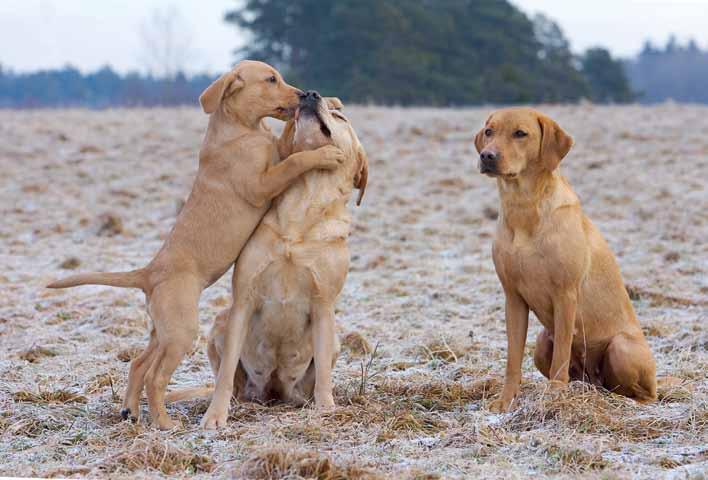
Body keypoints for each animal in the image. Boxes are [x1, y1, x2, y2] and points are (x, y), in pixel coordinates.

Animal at [45, 61, 344, 432]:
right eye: (271, 80)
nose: (304, 95)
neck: (239, 129)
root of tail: (148, 273)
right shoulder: (261, 184)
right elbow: (293, 161)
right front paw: (324, 153)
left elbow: (287, 149)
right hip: (182, 331)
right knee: (155, 377)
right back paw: (164, 423)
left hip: (163, 329)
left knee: (139, 363)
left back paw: (131, 411)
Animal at [476, 109, 660, 412]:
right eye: (489, 132)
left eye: (520, 133)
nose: (487, 156)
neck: (523, 208)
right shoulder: (513, 298)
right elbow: (513, 358)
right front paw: (506, 401)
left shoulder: (565, 295)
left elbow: (561, 354)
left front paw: (554, 398)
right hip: (542, 342)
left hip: (621, 347)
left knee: (642, 393)